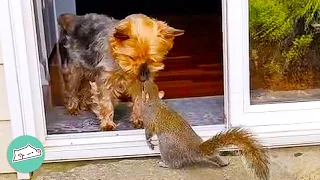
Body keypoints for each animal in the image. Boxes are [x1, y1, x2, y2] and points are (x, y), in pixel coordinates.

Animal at [132, 80, 270, 180]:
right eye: (151, 84)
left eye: (143, 88)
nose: (143, 80)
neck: (154, 100)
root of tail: (195, 148)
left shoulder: (149, 119)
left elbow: (149, 131)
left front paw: (149, 142)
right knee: (211, 155)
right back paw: (222, 162)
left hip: (166, 145)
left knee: (174, 163)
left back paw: (164, 164)